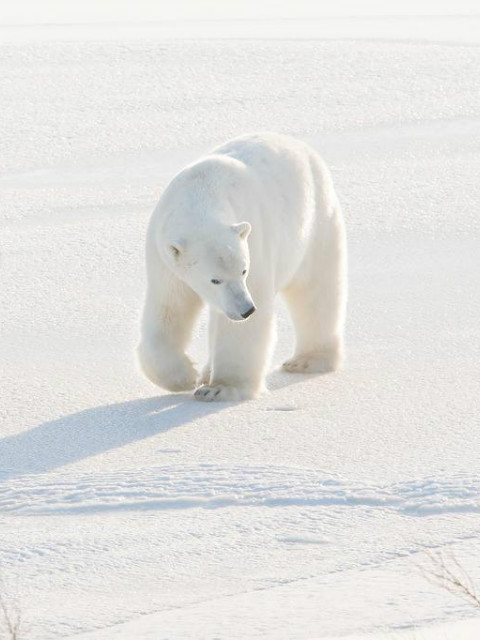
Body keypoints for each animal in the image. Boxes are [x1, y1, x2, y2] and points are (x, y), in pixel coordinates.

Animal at [137, 131, 346, 400]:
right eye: (214, 279)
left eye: (244, 270)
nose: (247, 309)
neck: (201, 190)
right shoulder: (164, 259)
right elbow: (169, 308)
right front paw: (184, 377)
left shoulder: (255, 242)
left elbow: (243, 327)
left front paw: (220, 388)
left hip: (316, 225)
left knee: (315, 291)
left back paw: (307, 361)